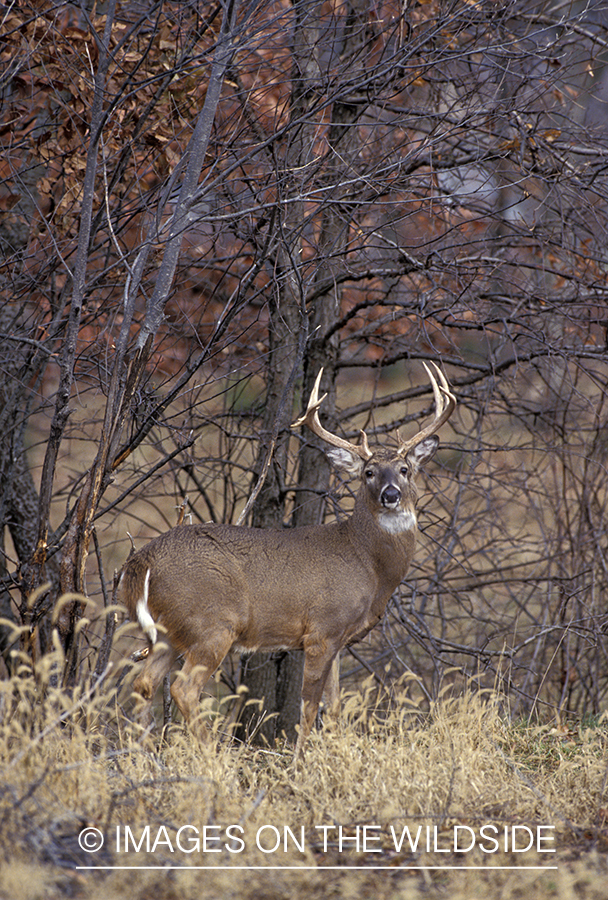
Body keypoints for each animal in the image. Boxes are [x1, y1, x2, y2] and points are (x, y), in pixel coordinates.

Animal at [116, 364, 454, 760]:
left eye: (404, 469)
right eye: (368, 473)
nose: (390, 495)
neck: (367, 563)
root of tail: (140, 561)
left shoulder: (340, 638)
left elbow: (334, 707)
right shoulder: (322, 629)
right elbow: (308, 705)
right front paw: (300, 760)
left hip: (170, 632)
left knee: (143, 683)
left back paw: (143, 757)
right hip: (211, 623)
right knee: (183, 689)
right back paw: (213, 758)